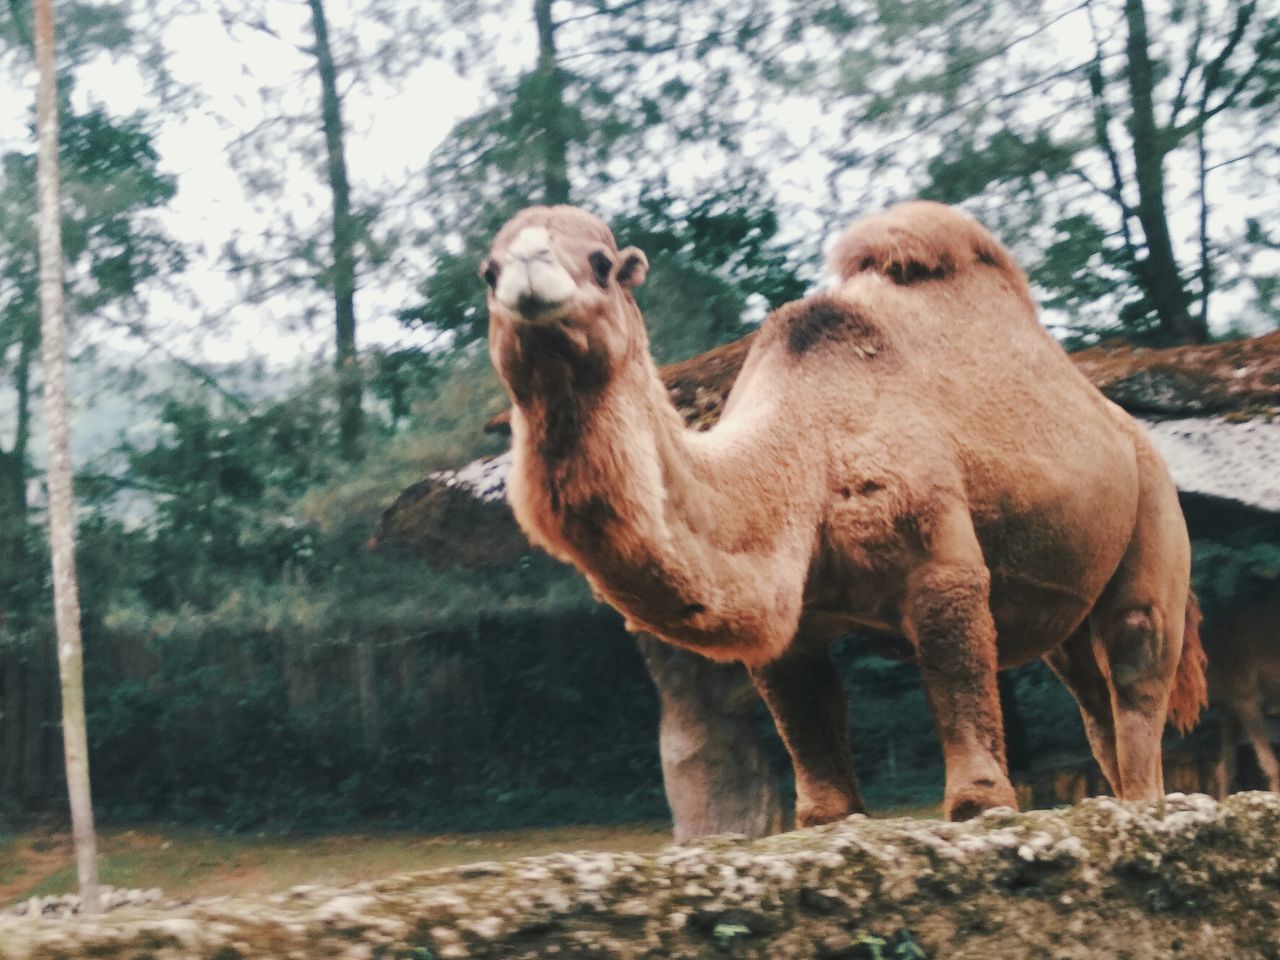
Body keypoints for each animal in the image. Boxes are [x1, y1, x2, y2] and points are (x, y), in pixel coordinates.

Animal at [483, 203, 1203, 829]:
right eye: (487, 271)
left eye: (602, 262)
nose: (525, 274)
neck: (806, 450)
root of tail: (1131, 430)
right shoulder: (795, 616)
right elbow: (805, 712)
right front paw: (830, 816)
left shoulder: (939, 559)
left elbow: (958, 674)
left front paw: (982, 803)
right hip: (1073, 598)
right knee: (1090, 691)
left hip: (1156, 506)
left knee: (1137, 658)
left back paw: (1144, 802)